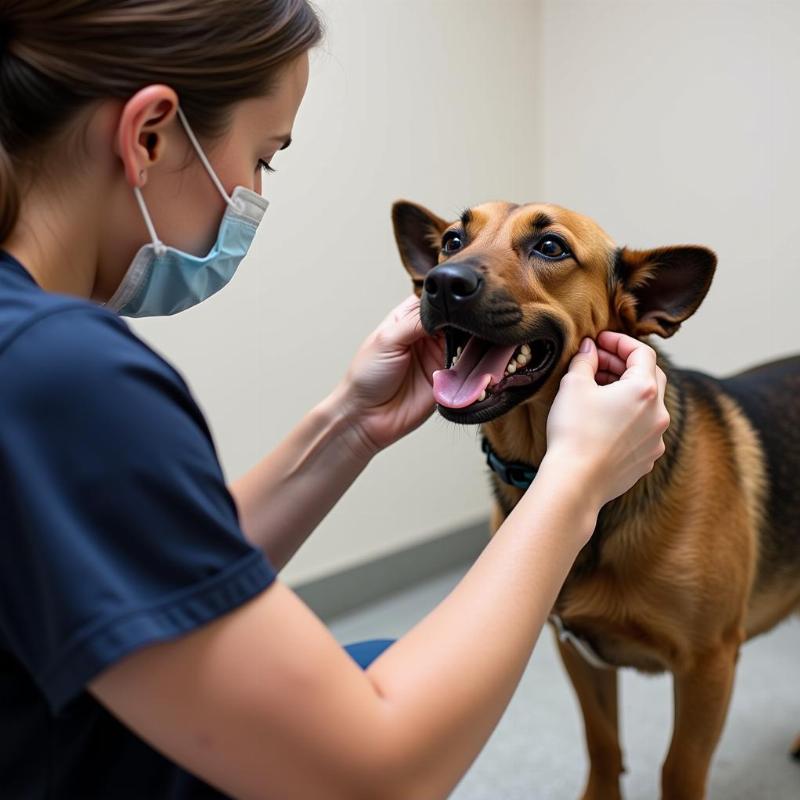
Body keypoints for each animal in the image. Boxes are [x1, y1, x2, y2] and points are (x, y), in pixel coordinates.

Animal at [392, 200, 800, 800]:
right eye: (452, 240)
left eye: (551, 248)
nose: (443, 282)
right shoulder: (577, 649)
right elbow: (602, 742)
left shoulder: (708, 665)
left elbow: (678, 770)